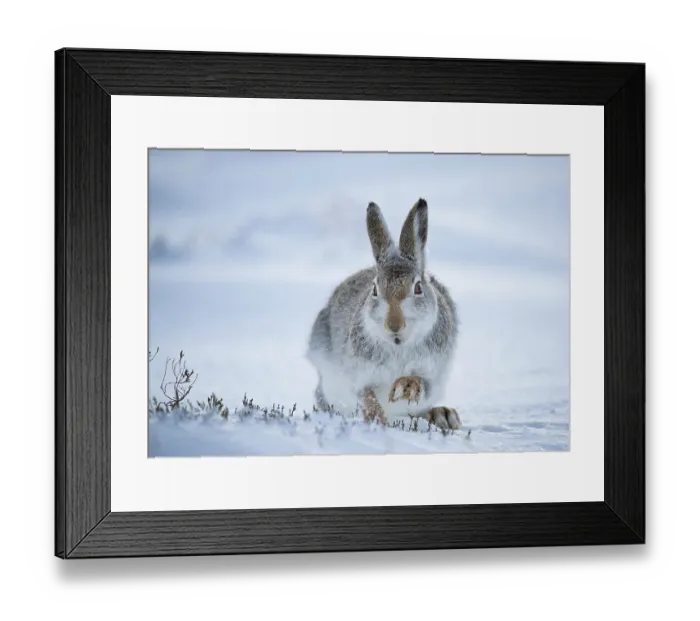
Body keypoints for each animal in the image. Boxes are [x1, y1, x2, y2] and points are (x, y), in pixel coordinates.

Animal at [306, 198, 462, 430]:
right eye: (375, 289)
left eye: (418, 288)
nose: (394, 325)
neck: (398, 345)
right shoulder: (358, 375)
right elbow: (365, 394)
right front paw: (376, 418)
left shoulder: (433, 372)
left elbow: (421, 383)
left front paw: (405, 385)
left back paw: (442, 414)